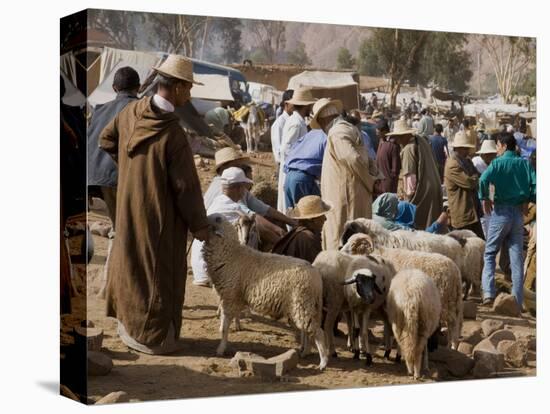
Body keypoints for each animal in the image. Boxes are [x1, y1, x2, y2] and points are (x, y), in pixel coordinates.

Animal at [204, 213, 330, 368]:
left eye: (217, 219)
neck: (231, 254)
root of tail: (316, 275)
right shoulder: (234, 297)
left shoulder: (229, 296)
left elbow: (224, 327)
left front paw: (220, 349)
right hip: (305, 305)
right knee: (308, 331)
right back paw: (305, 352)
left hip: (303, 303)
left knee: (317, 332)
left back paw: (323, 362)